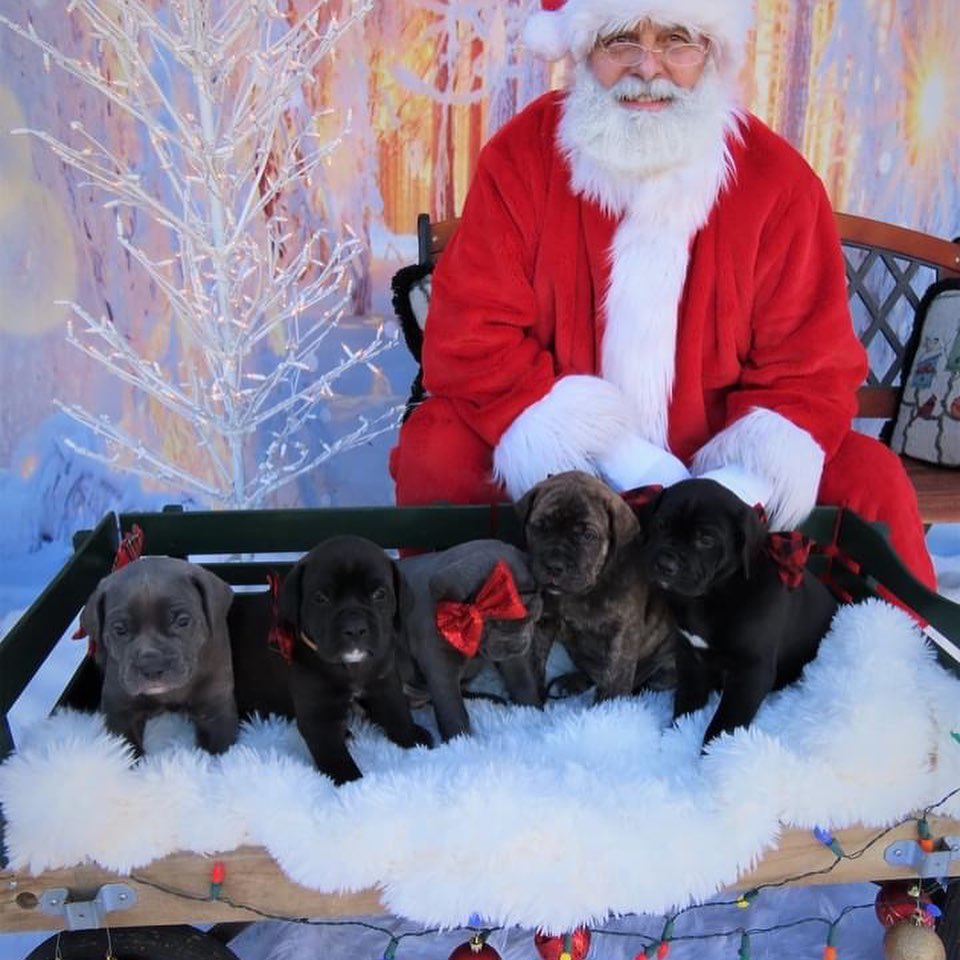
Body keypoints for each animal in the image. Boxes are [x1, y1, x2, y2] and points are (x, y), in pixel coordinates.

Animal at [78, 556, 237, 756]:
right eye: (119, 629)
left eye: (182, 621)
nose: (151, 668)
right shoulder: (119, 709)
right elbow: (126, 749)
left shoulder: (215, 708)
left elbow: (219, 748)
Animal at [276, 536, 430, 784]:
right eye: (320, 598)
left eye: (380, 594)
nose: (355, 628)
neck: (351, 667)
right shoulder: (317, 716)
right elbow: (333, 753)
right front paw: (352, 783)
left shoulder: (385, 683)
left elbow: (397, 712)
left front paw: (412, 737)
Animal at [400, 540, 548, 744]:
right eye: (493, 621)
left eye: (531, 618)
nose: (518, 646)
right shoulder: (440, 666)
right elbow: (451, 707)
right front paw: (459, 741)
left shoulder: (513, 660)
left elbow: (522, 679)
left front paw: (533, 711)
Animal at [516, 470, 676, 700]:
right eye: (540, 527)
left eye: (587, 536)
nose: (554, 566)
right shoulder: (544, 621)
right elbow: (535, 660)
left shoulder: (623, 631)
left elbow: (616, 675)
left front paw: (608, 706)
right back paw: (568, 683)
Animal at [640, 480, 836, 752]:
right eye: (660, 525)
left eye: (706, 539)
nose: (665, 564)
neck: (713, 596)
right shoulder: (691, 657)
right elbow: (688, 700)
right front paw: (678, 735)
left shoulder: (751, 671)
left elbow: (726, 721)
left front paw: (715, 754)